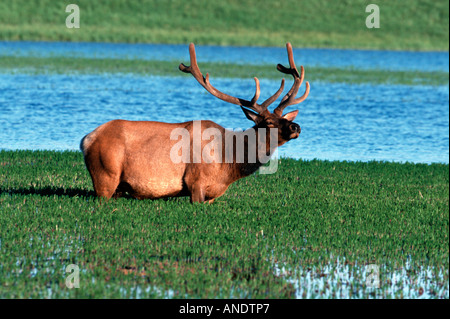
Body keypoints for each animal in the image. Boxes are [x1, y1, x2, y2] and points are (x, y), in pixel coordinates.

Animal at [80, 42, 310, 204]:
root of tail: (85, 139)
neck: (230, 163)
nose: (296, 127)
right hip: (106, 174)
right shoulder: (195, 181)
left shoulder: (214, 194)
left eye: (285, 118)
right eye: (269, 121)